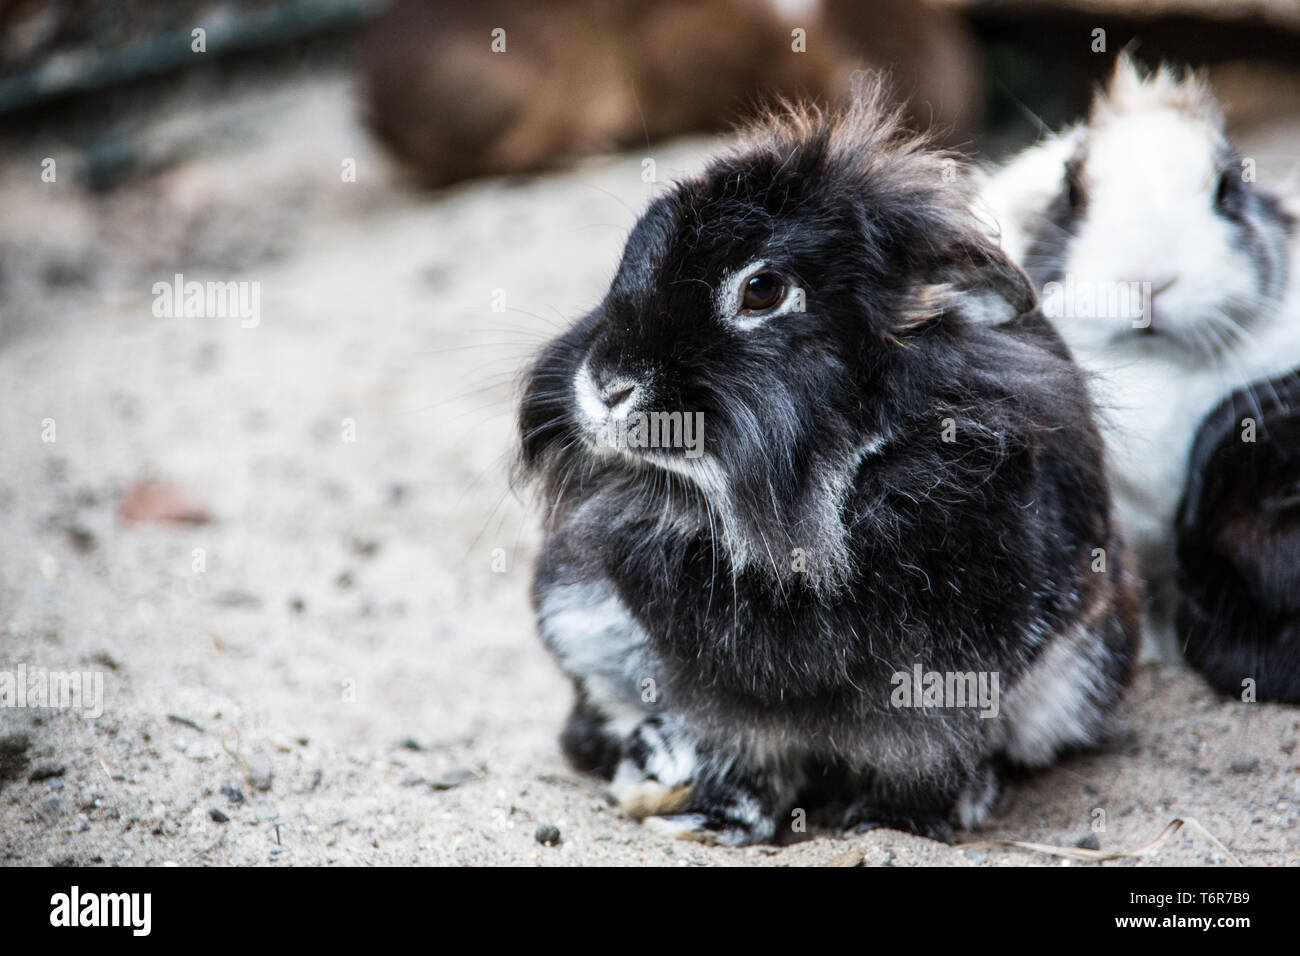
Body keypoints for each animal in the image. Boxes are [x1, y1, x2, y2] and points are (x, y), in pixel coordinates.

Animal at [514, 83, 1138, 842]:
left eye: (762, 290)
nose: (606, 385)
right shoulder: (711, 698)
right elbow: (739, 752)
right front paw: (714, 818)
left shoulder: (942, 689)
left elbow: (926, 756)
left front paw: (899, 823)